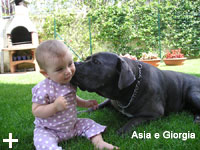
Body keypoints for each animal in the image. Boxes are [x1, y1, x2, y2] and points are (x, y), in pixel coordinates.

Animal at [70, 52, 200, 134]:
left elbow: (133, 121)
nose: (74, 63)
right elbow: (96, 106)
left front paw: (121, 131)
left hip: (192, 94)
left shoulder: (153, 113)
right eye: (87, 59)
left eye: (96, 62)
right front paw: (82, 112)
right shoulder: (111, 101)